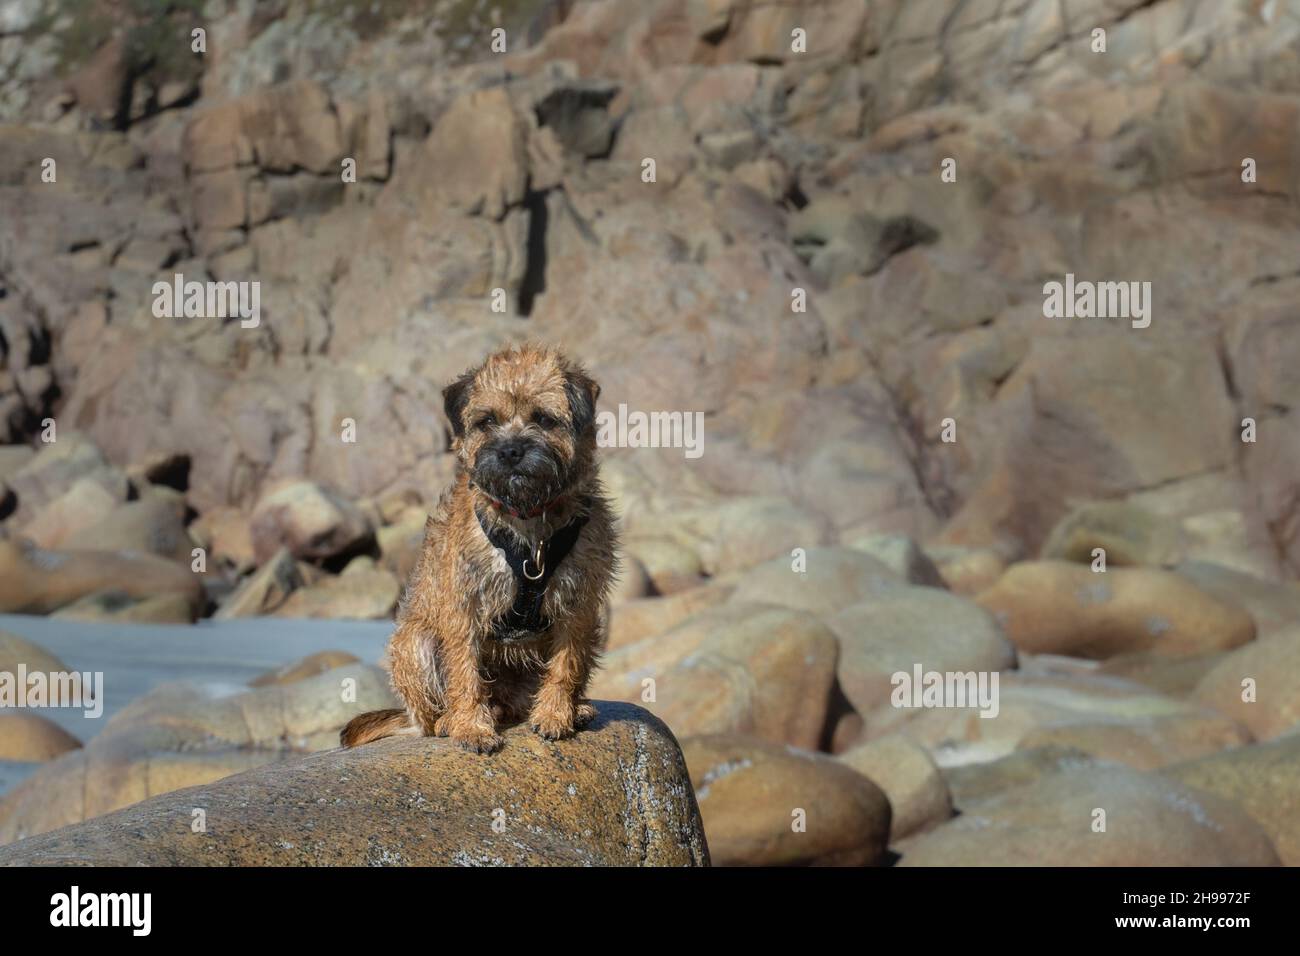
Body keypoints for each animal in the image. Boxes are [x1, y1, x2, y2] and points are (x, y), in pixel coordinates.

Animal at [338, 343, 616, 754]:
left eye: (543, 418)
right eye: (487, 421)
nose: (511, 451)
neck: (527, 518)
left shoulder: (578, 604)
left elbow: (567, 664)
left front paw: (555, 714)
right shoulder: (464, 602)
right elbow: (465, 670)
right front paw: (471, 727)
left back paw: (567, 707)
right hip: (413, 645)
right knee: (431, 716)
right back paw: (449, 721)